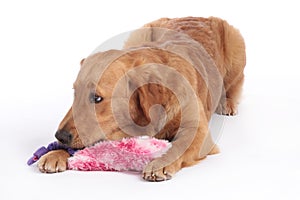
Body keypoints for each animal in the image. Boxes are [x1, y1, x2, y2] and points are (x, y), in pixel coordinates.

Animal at [38, 16, 246, 181]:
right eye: (75, 93)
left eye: (97, 98)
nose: (60, 136)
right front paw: (56, 153)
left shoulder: (198, 132)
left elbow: (179, 145)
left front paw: (161, 162)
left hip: (235, 44)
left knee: (235, 83)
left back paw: (227, 103)